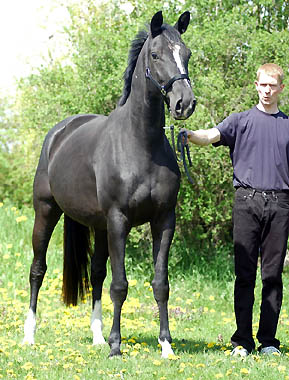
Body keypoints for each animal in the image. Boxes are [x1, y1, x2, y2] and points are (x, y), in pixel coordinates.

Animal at [23, 10, 195, 358]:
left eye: (186, 54)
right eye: (155, 55)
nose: (184, 103)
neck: (141, 144)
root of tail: (59, 133)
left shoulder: (163, 220)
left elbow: (160, 284)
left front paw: (166, 345)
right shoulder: (119, 220)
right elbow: (120, 284)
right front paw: (116, 346)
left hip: (99, 226)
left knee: (96, 274)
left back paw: (97, 336)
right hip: (46, 212)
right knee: (38, 270)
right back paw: (30, 335)